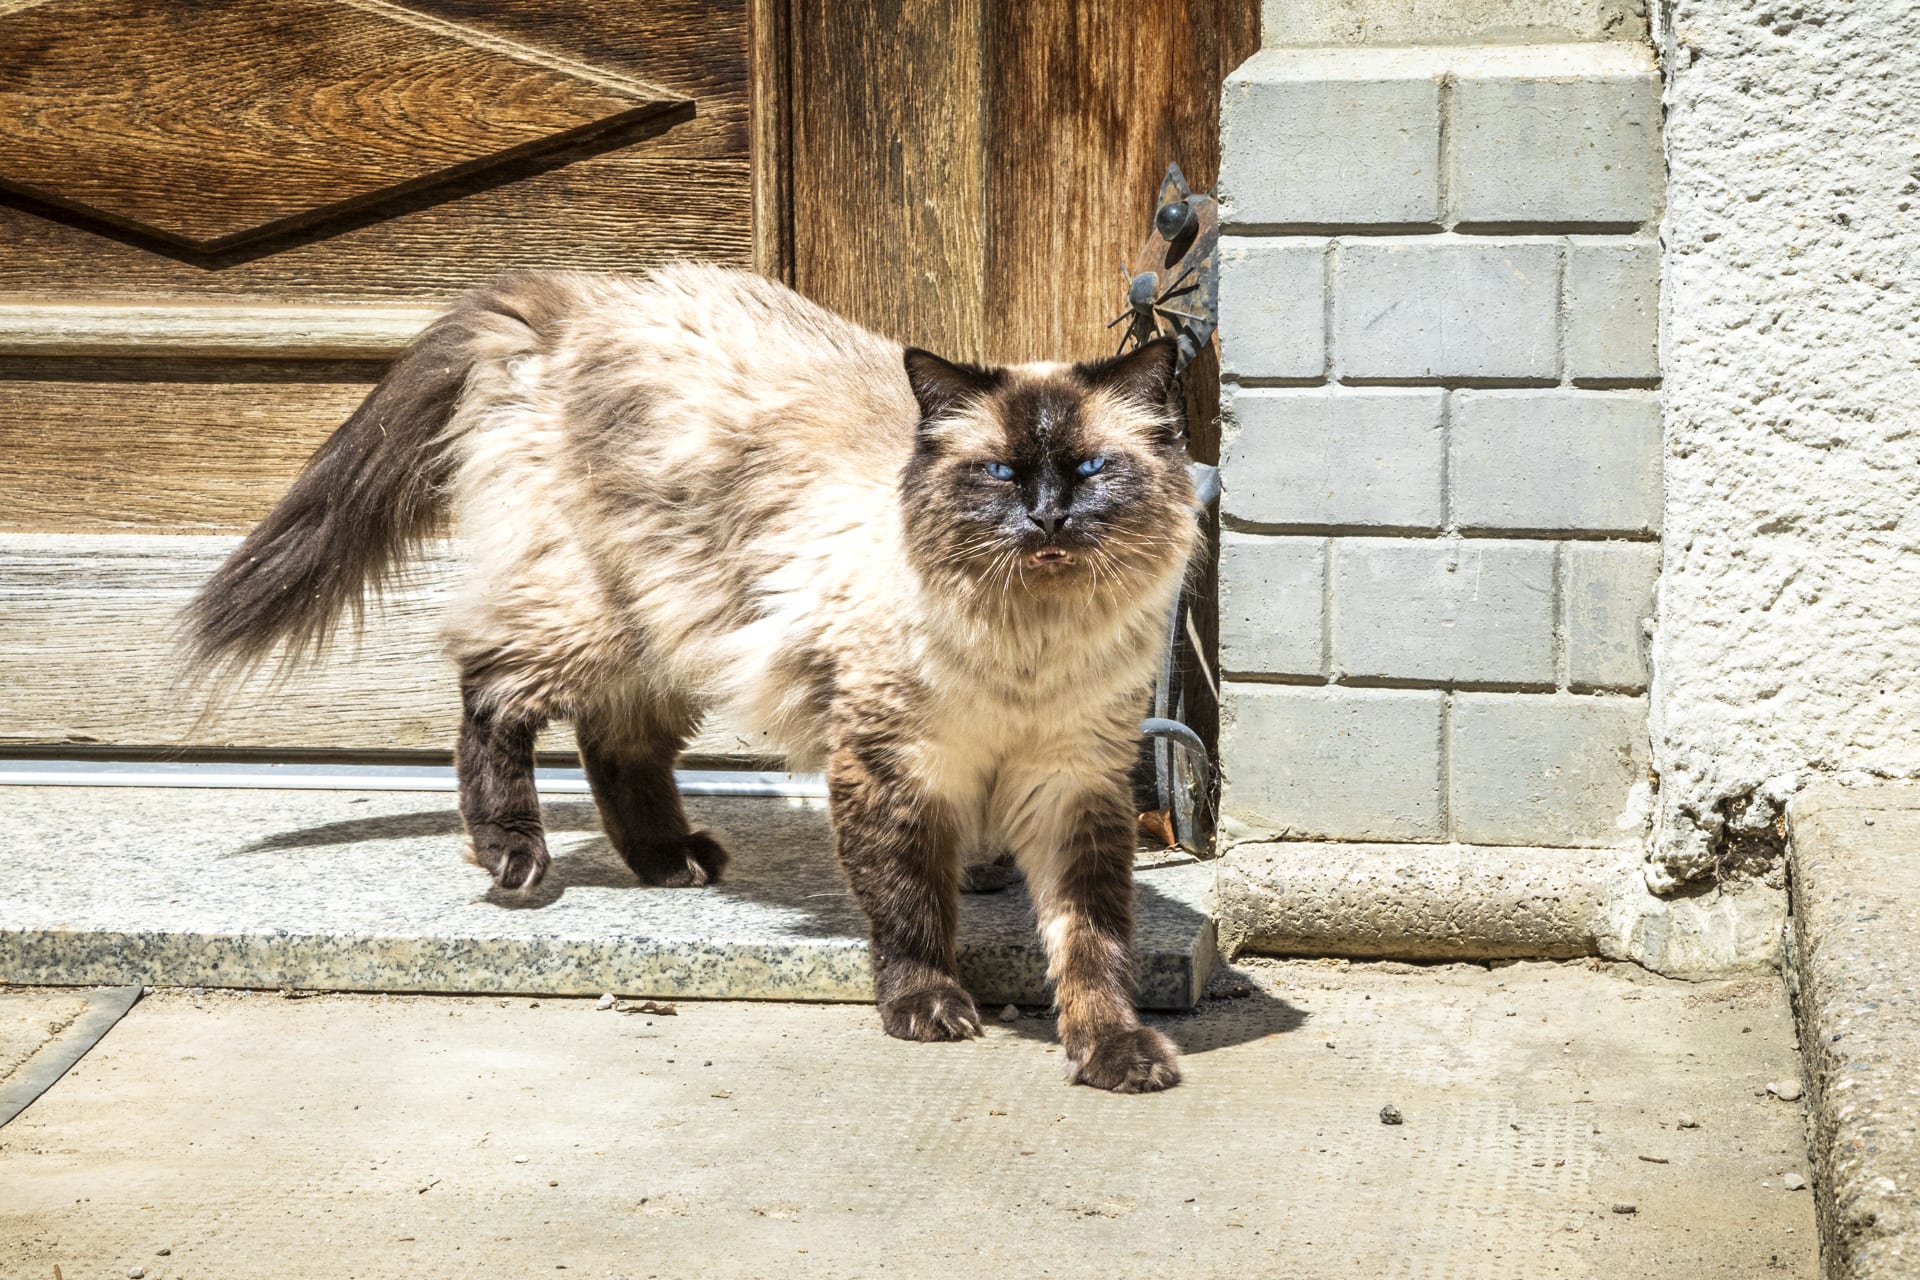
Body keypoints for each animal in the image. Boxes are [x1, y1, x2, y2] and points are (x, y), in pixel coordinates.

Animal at [183, 263, 1201, 1092]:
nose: (1047, 519)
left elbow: (1091, 944)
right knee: (489, 685)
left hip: (671, 637)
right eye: (998, 474)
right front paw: (927, 1010)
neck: (1029, 646)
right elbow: (911, 909)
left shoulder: (1073, 785)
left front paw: (1115, 1054)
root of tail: (586, 297)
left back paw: (669, 861)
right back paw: (514, 853)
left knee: (614, 744)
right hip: (598, 620)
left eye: (1091, 469)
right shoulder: (891, 767)